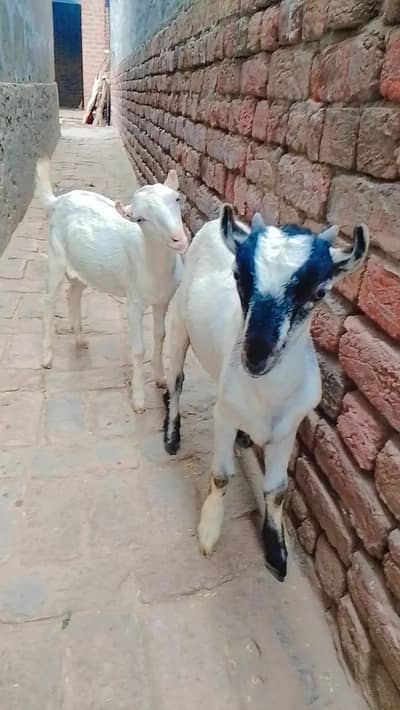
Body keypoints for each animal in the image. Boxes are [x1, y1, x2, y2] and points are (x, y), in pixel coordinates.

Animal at [35, 158, 187, 412]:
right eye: (139, 219)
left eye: (177, 199)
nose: (179, 239)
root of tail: (57, 201)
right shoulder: (134, 303)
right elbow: (138, 349)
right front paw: (138, 401)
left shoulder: (163, 300)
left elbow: (160, 336)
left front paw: (161, 379)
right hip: (55, 256)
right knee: (47, 300)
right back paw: (46, 358)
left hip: (84, 266)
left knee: (73, 292)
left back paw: (80, 338)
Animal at [163, 205, 369, 581]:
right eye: (237, 276)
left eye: (319, 291)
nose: (256, 353)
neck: (265, 396)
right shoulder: (224, 415)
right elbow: (221, 475)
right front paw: (209, 530)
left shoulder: (288, 429)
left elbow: (277, 491)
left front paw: (277, 553)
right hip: (179, 326)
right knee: (177, 380)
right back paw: (172, 435)